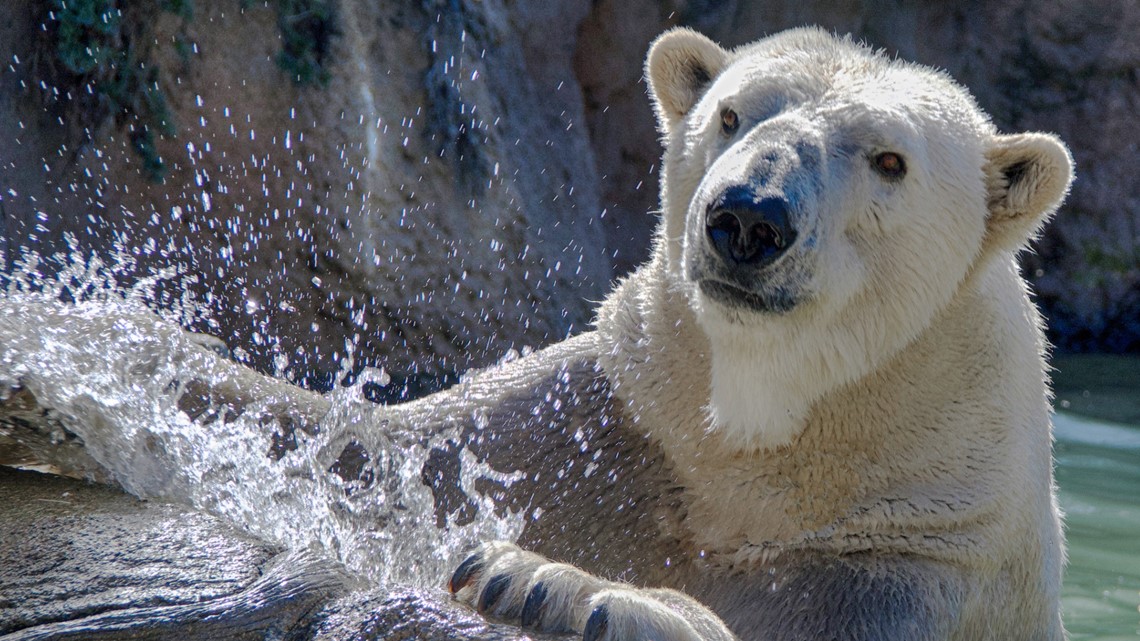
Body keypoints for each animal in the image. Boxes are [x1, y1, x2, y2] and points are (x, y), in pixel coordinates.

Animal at [428, 26, 1073, 641]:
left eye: (891, 161)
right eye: (730, 115)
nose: (749, 216)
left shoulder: (906, 569)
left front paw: (544, 581)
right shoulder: (602, 418)